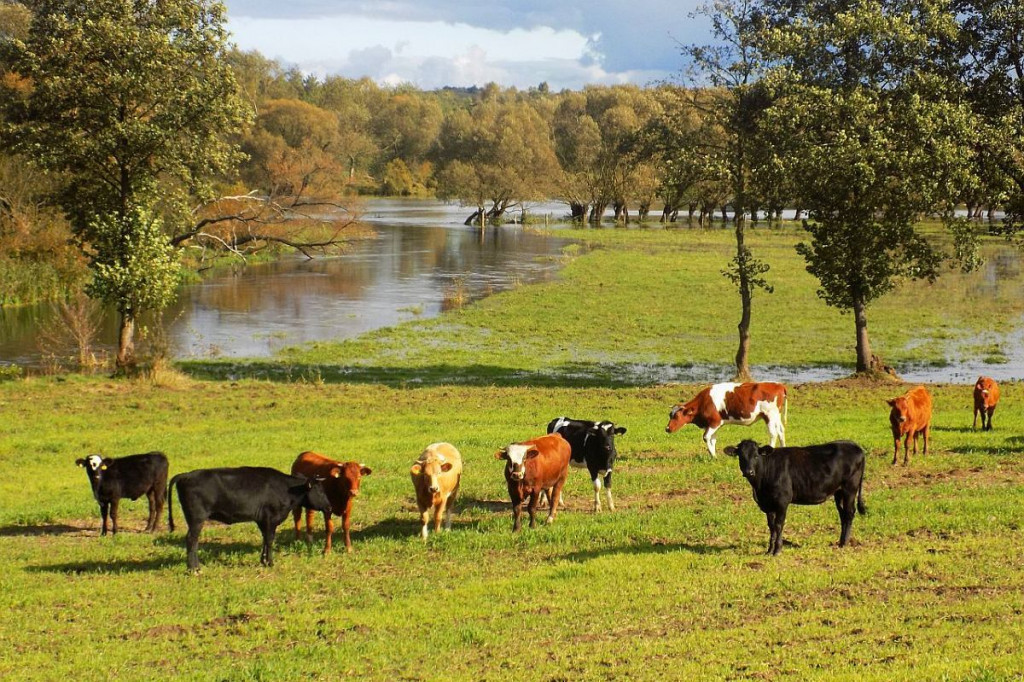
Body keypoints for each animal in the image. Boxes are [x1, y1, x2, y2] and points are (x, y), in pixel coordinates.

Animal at [165, 464, 329, 569]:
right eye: (320, 491)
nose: (329, 507)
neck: (286, 489)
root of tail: (186, 475)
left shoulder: (262, 521)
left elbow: (265, 540)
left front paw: (263, 561)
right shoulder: (271, 519)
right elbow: (270, 540)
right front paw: (270, 563)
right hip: (197, 519)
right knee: (191, 539)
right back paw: (193, 568)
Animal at [724, 438, 868, 557]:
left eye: (755, 455)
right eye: (741, 457)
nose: (749, 472)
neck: (759, 488)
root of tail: (855, 445)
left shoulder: (782, 501)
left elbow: (778, 525)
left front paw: (777, 550)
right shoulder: (768, 505)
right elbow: (771, 526)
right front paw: (769, 550)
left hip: (850, 488)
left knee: (849, 513)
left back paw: (844, 543)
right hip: (838, 492)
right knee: (843, 514)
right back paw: (840, 542)